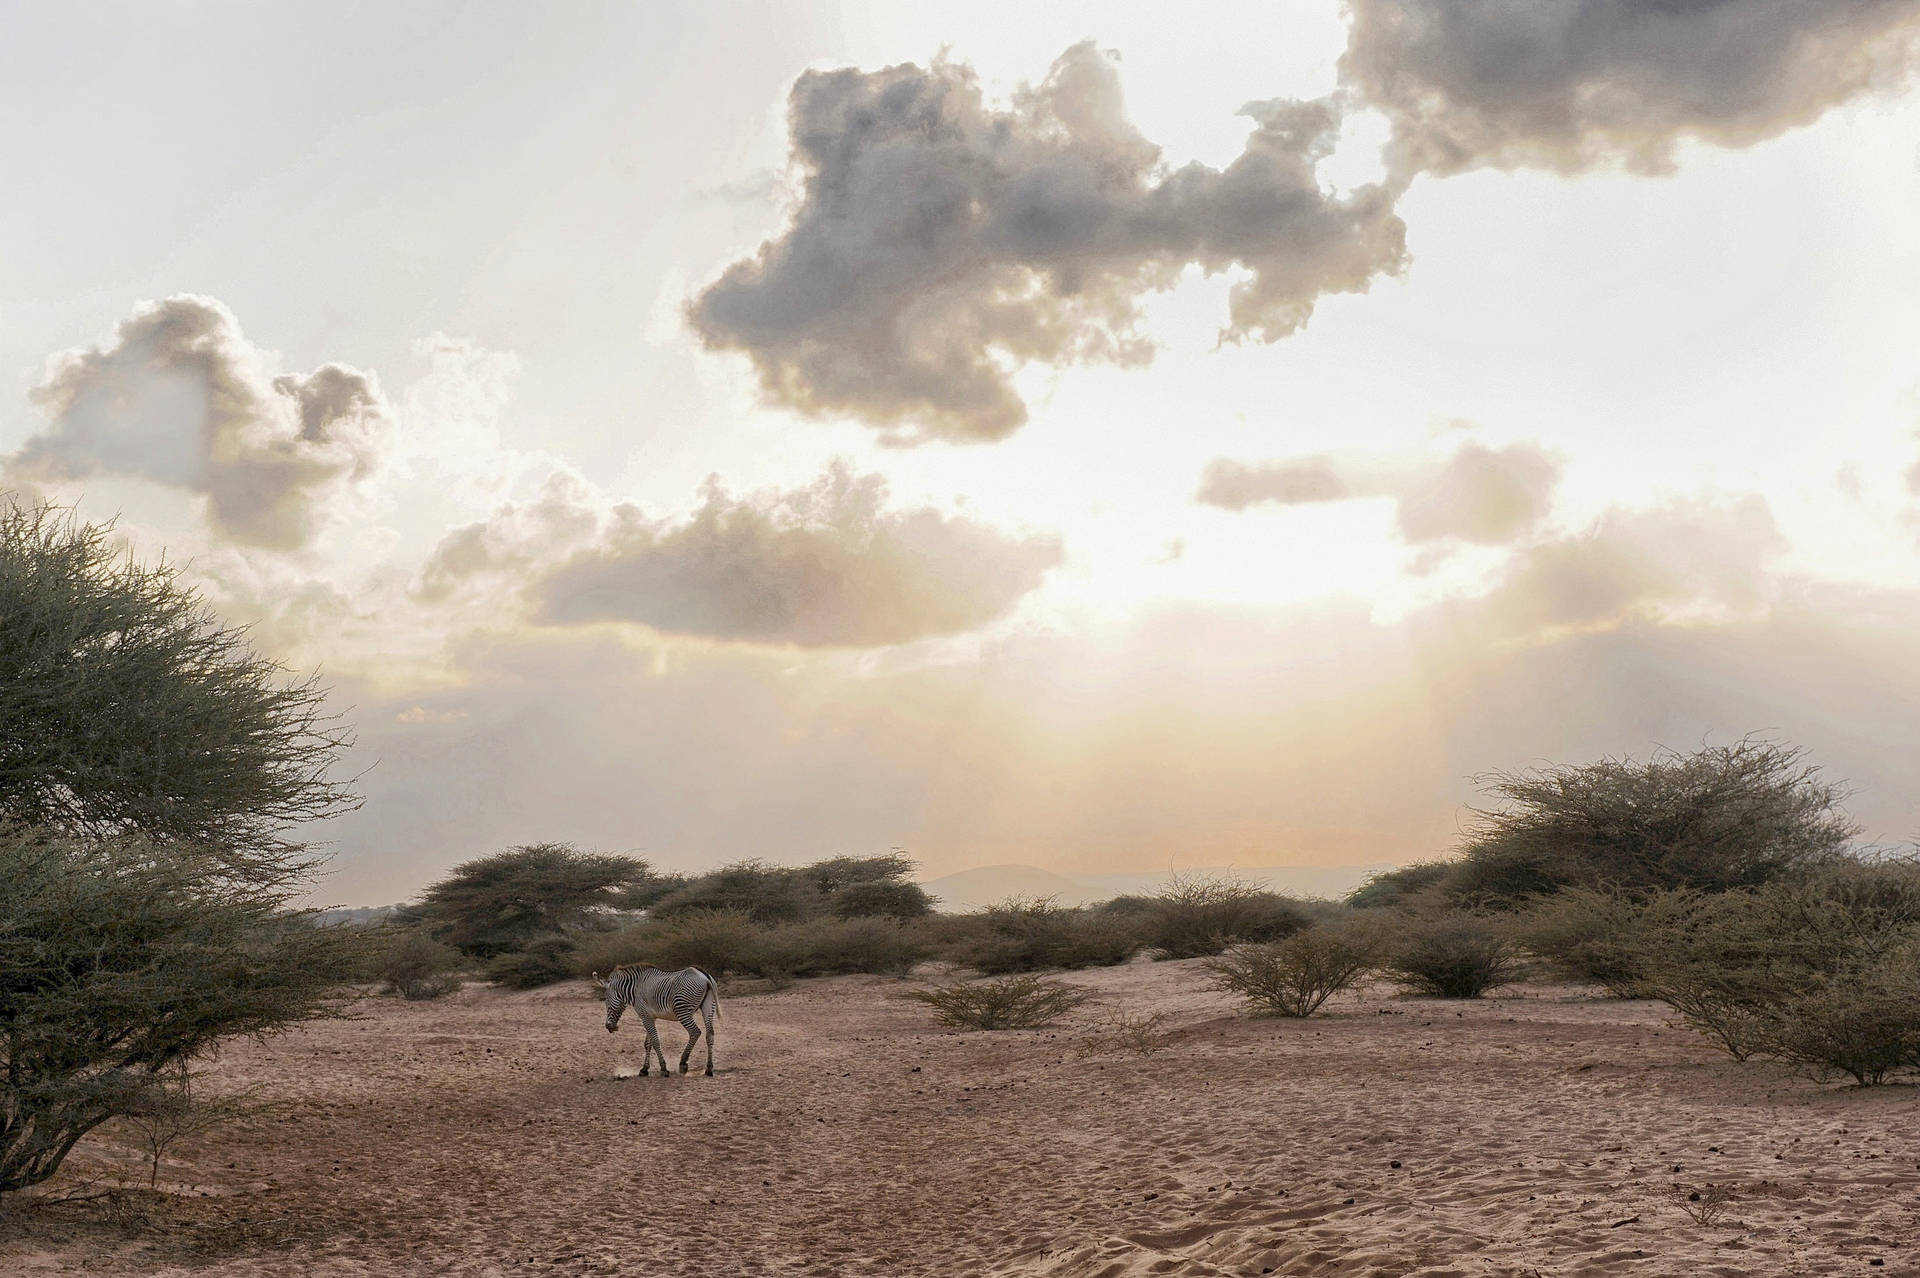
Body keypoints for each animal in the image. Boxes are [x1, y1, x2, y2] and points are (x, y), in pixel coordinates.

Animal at [591, 967, 721, 1074]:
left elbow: (655, 1041)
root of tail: (705, 976)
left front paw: (663, 1068)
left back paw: (683, 1063)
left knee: (695, 1032)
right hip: (709, 1006)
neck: (635, 990)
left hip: (682, 1010)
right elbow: (648, 1043)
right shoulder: (649, 1017)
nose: (609, 1027)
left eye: (606, 1000)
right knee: (710, 1034)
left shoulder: (645, 1017)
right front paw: (644, 1069)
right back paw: (709, 1068)